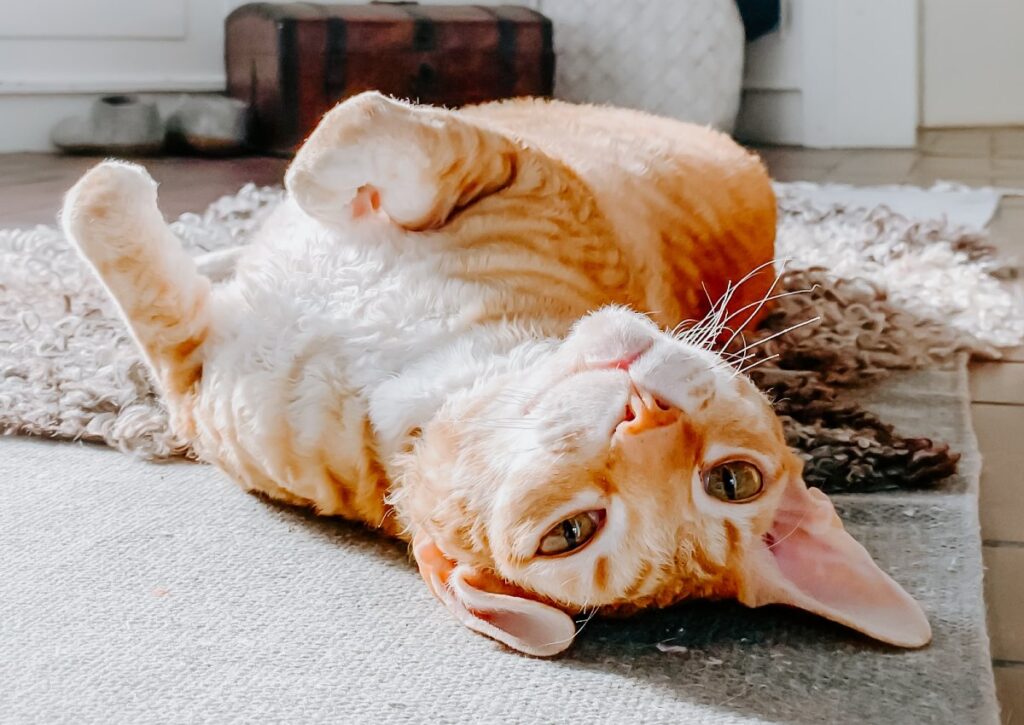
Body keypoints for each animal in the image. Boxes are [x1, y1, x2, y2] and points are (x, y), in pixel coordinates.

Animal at [59, 92, 933, 655]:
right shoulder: (517, 167)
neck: (421, 368)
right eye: (735, 479)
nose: (643, 416)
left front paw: (113, 187)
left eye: (570, 534)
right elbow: (353, 133)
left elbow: (133, 237)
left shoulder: (191, 374)